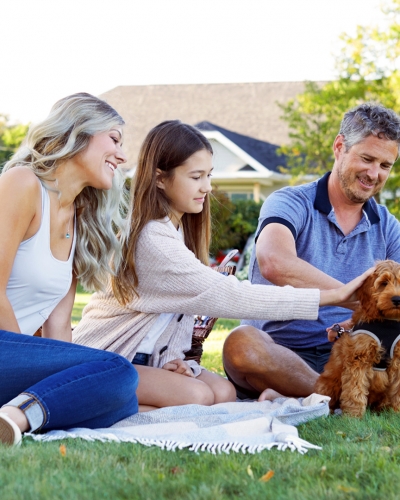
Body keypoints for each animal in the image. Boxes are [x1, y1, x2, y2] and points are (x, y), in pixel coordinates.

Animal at [314, 262, 400, 418]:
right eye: (384, 283)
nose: (397, 299)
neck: (386, 321)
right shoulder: (358, 358)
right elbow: (355, 388)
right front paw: (353, 416)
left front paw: (396, 413)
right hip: (329, 383)